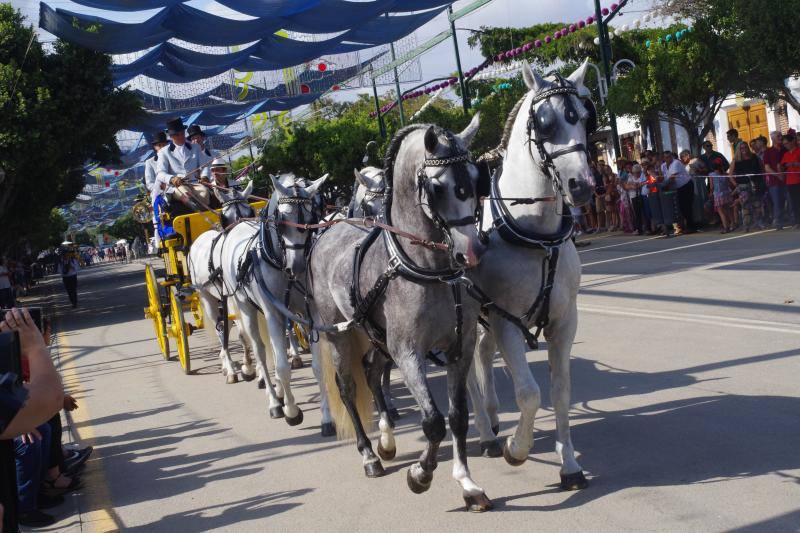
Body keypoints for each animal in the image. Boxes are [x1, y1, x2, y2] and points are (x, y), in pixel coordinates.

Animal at [186, 182, 255, 382]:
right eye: (224, 217)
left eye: (250, 212)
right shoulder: (234, 298)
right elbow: (242, 333)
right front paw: (248, 367)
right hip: (206, 295)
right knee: (220, 328)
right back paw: (229, 368)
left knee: (225, 325)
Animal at [219, 174, 328, 428]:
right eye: (282, 220)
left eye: (311, 218)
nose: (297, 266)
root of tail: (238, 226)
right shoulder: (272, 314)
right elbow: (281, 366)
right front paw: (291, 410)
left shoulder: (309, 313)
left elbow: (318, 367)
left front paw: (327, 418)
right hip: (245, 308)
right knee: (259, 350)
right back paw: (275, 401)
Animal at [468, 60, 592, 488]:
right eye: (544, 122)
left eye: (584, 116)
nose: (581, 185)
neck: (535, 235)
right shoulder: (506, 320)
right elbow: (528, 394)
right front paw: (516, 449)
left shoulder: (565, 319)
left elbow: (561, 391)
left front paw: (569, 464)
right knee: (467, 372)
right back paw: (487, 433)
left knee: (481, 355)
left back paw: (490, 417)